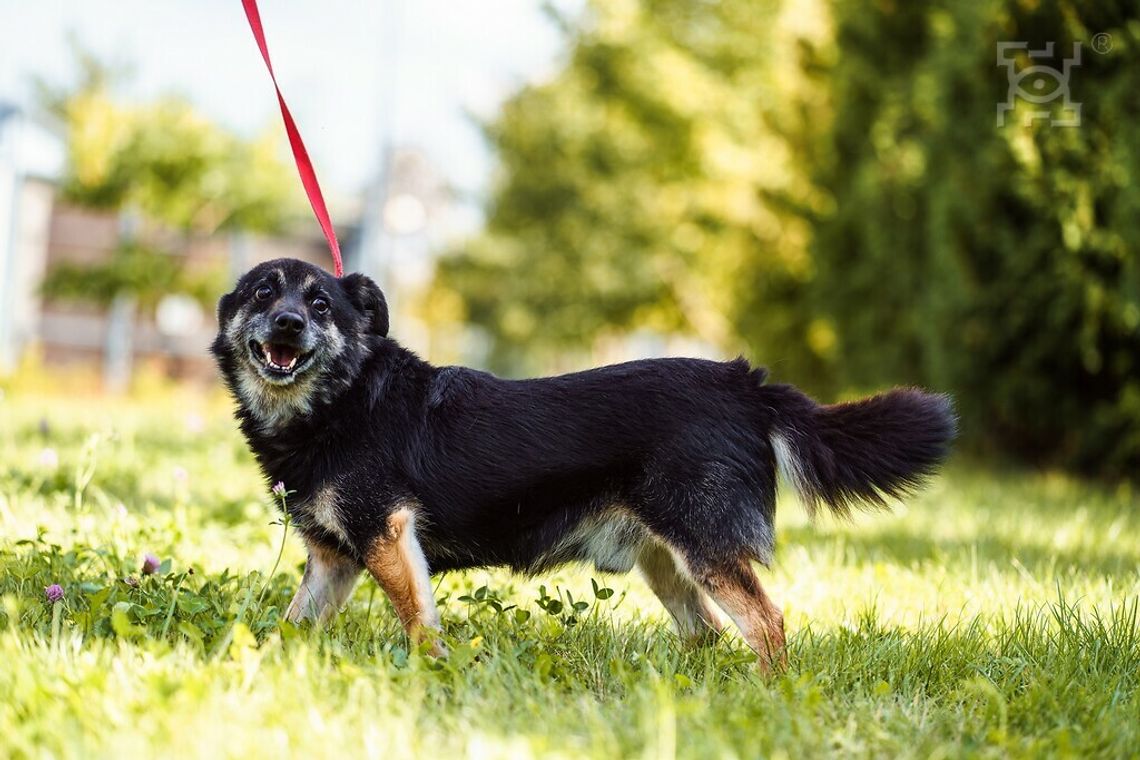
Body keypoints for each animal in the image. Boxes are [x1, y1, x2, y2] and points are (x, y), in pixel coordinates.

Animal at [212, 258, 953, 669]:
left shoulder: (387, 537)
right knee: (708, 632)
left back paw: (768, 697)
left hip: (705, 545)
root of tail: (746, 383)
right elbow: (291, 624)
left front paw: (431, 676)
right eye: (261, 295)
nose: (288, 325)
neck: (339, 402)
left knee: (766, 626)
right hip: (668, 560)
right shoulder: (333, 562)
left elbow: (419, 624)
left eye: (319, 304)